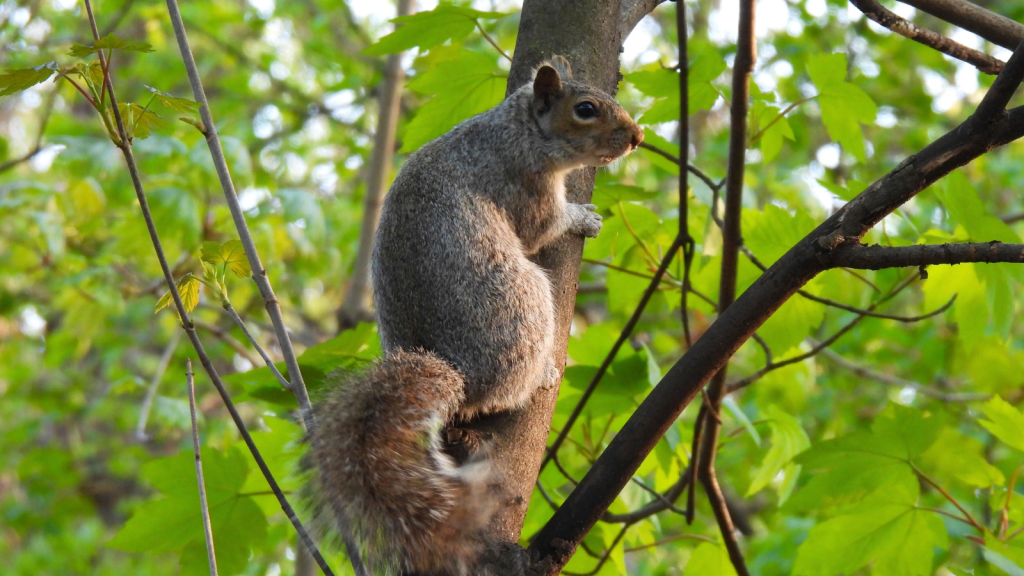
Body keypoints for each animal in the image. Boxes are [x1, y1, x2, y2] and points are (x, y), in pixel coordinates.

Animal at [307, 54, 643, 573]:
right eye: (585, 109)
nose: (636, 137)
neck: (518, 128)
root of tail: (461, 373)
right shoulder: (524, 183)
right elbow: (544, 226)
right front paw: (583, 217)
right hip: (524, 302)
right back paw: (542, 375)